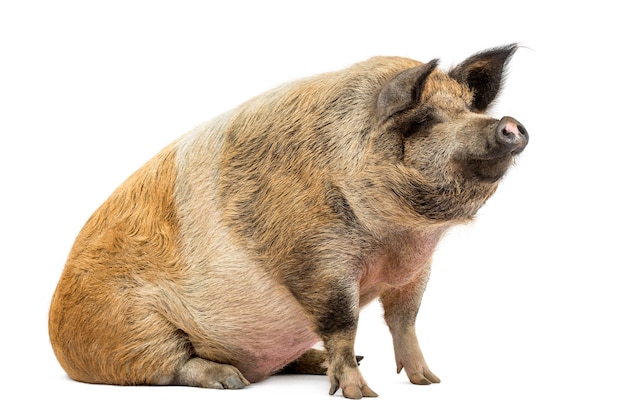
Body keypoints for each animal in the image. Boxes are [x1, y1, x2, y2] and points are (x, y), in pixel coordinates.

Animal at [48, 44, 528, 400]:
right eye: (424, 120)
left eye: (469, 108)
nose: (508, 124)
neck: (398, 238)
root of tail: (57, 338)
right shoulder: (317, 257)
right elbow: (343, 322)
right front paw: (360, 394)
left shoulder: (416, 270)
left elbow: (405, 320)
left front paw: (429, 382)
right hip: (135, 329)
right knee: (174, 365)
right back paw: (232, 381)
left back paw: (320, 362)